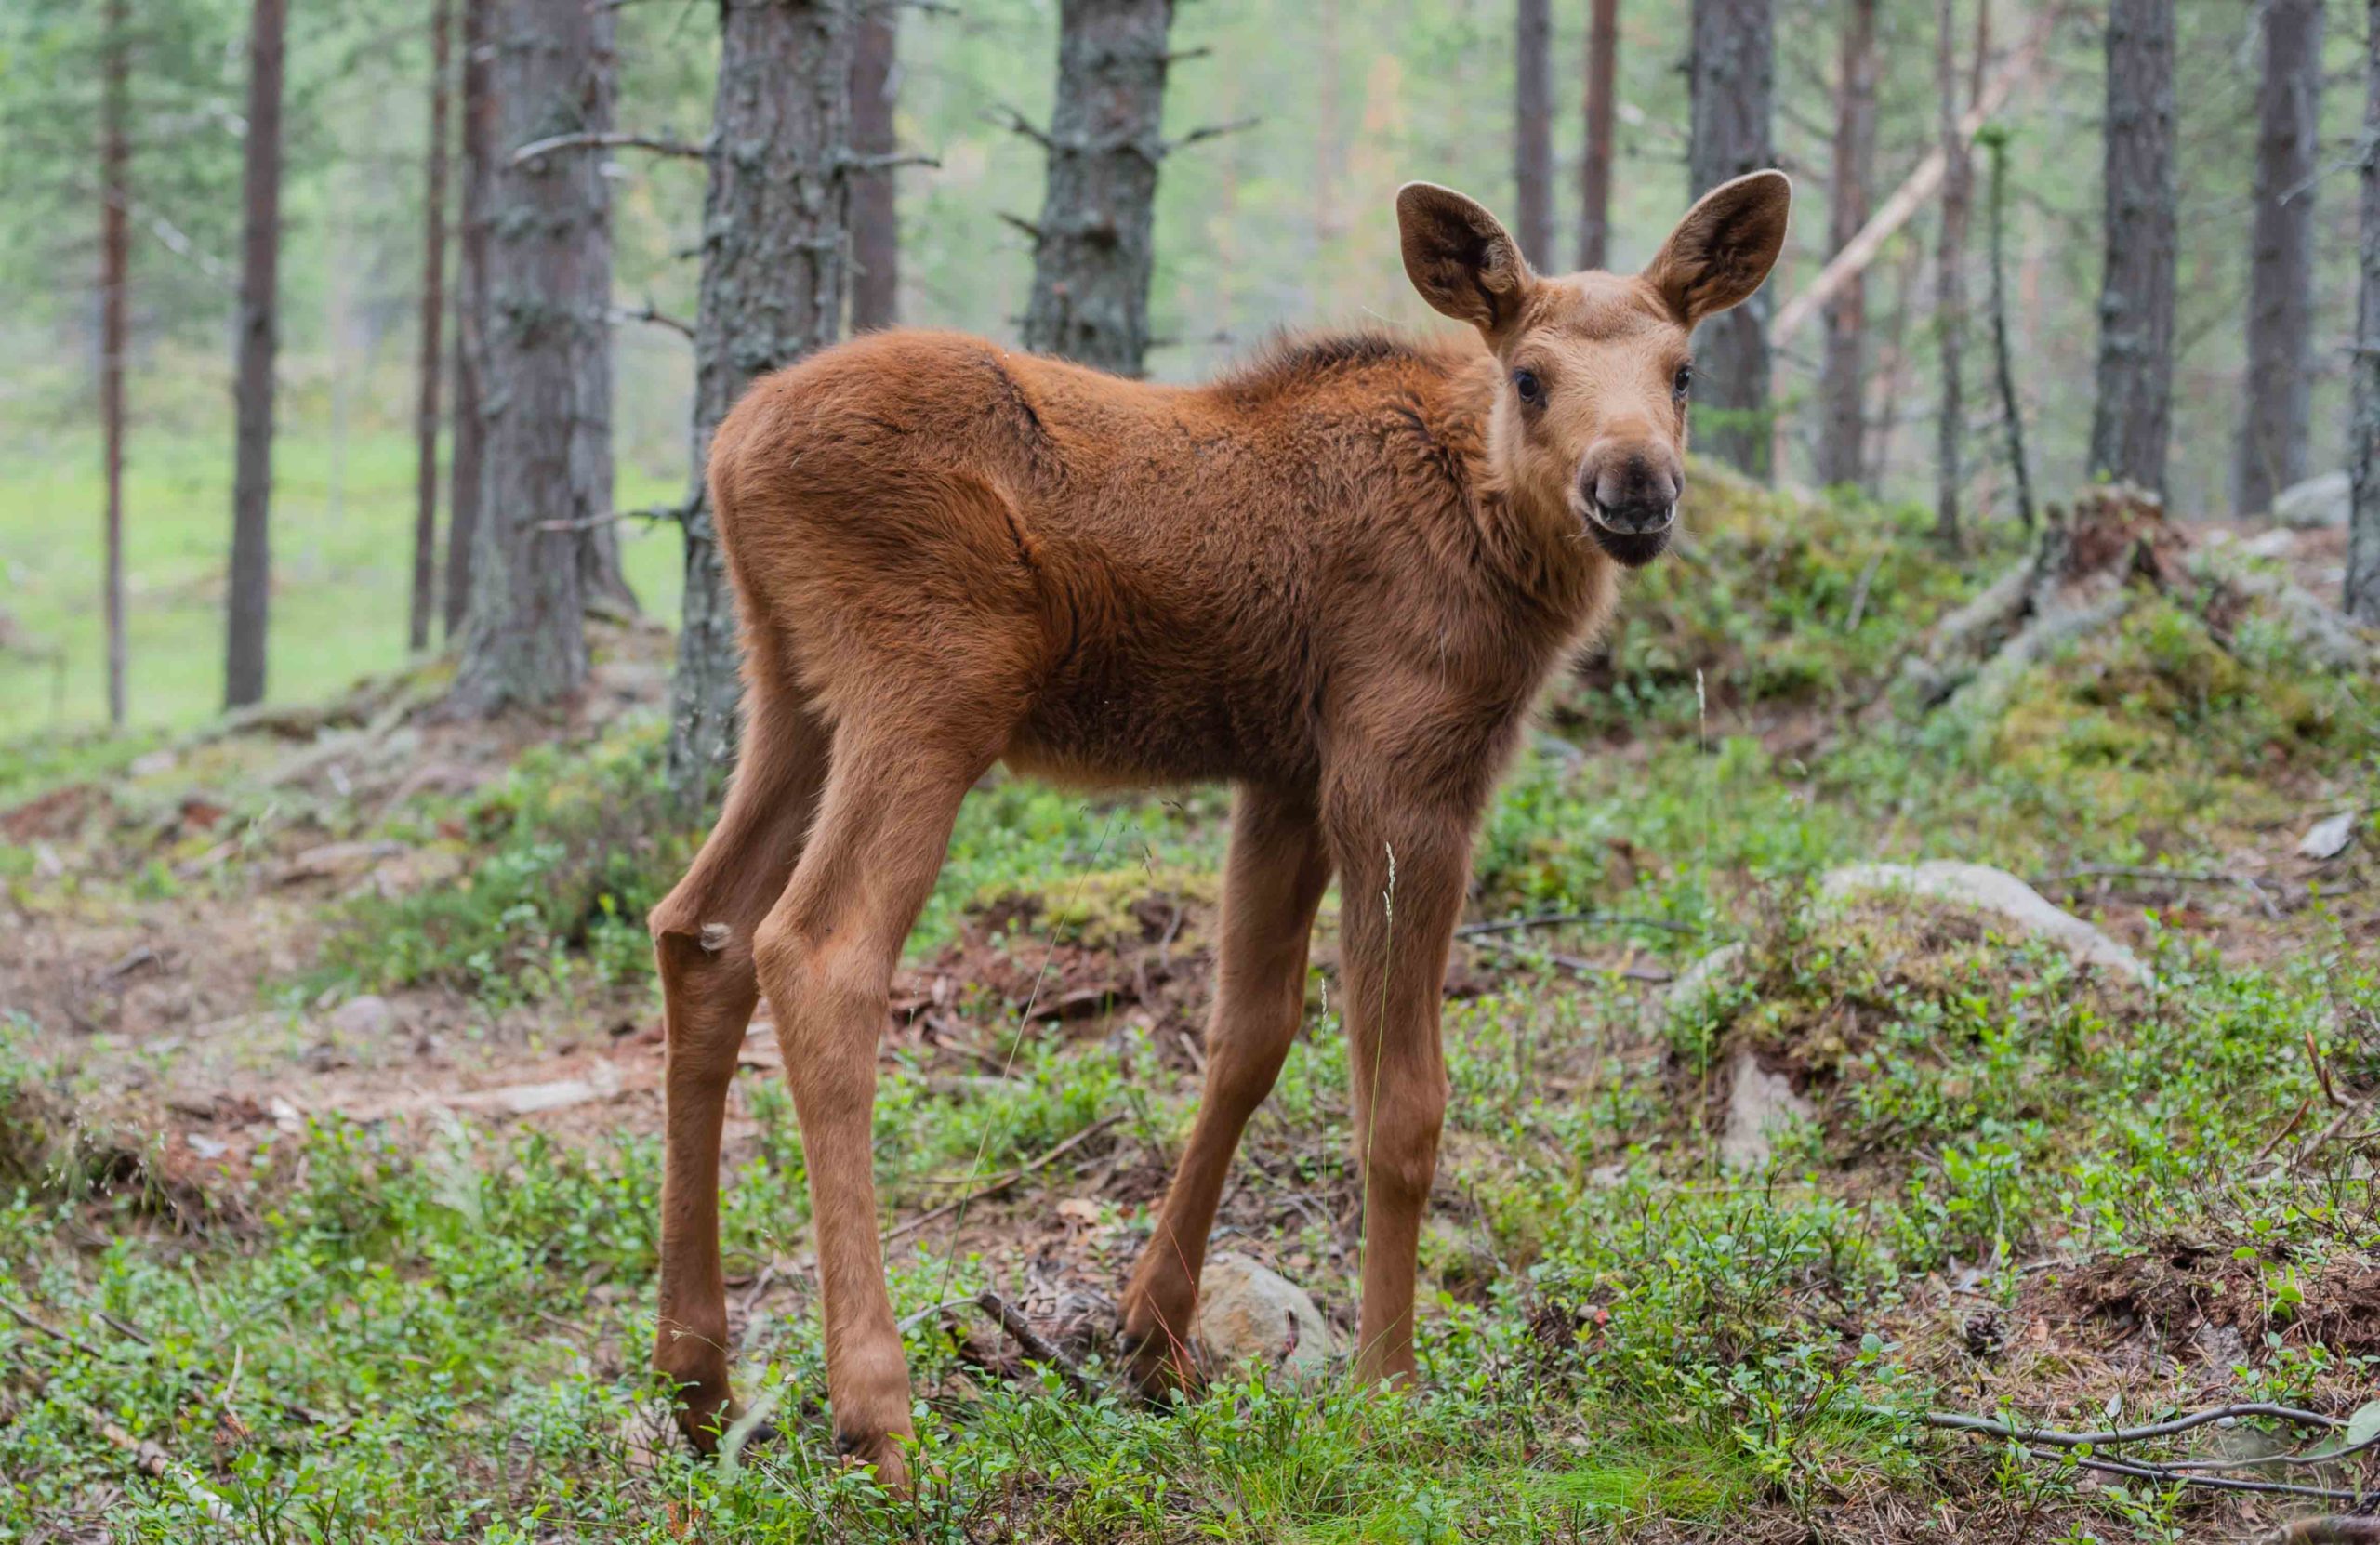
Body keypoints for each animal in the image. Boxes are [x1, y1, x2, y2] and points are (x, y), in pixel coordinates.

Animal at [644, 170, 1791, 1488]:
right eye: (1530, 376)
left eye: (1683, 371)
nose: (1634, 488)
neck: (1496, 535)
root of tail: (729, 449)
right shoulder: (1398, 772)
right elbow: (1398, 1106)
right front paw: (1386, 1389)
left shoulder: (1283, 776)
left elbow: (1248, 1036)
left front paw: (1154, 1337)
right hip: (928, 694)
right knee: (818, 951)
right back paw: (877, 1416)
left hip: (788, 692)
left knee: (699, 928)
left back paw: (694, 1380)